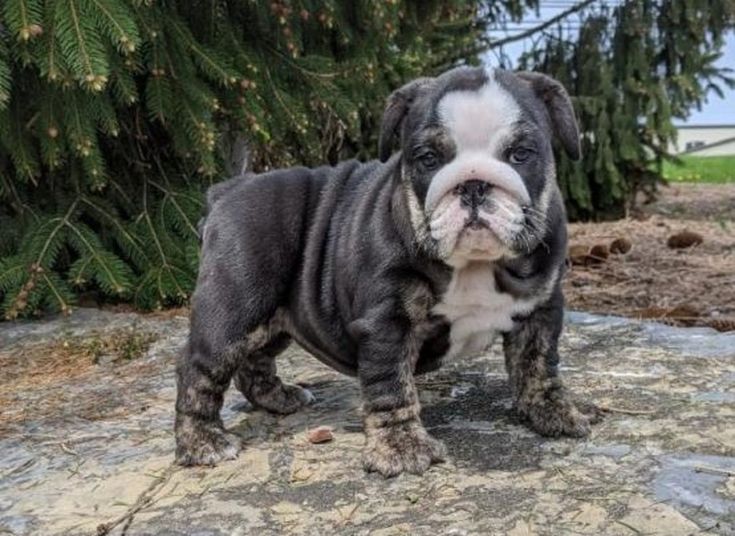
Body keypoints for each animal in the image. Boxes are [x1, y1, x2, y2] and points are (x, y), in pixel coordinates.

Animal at [177, 67, 600, 478]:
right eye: (428, 158)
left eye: (521, 154)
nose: (473, 184)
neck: (475, 264)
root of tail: (228, 190)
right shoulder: (386, 323)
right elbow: (390, 385)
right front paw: (401, 446)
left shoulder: (541, 310)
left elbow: (539, 365)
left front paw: (556, 411)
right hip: (235, 306)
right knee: (198, 368)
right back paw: (202, 442)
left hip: (274, 316)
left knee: (255, 358)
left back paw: (279, 398)